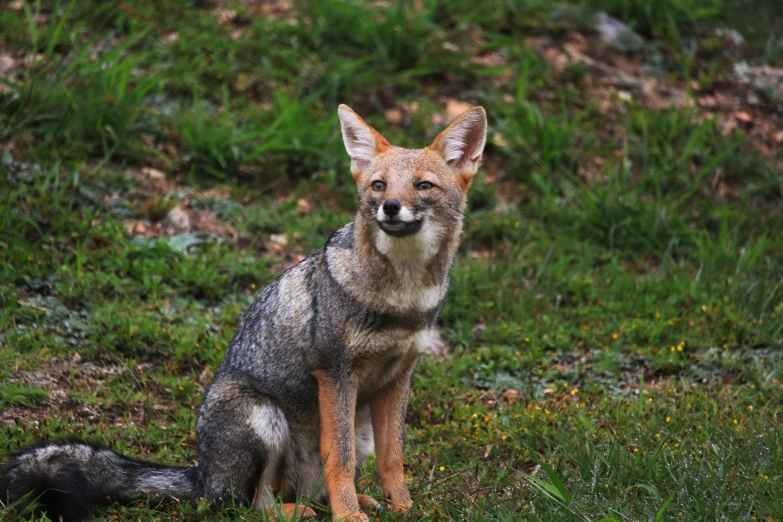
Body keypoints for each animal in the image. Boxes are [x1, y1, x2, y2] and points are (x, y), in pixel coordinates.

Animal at [1, 103, 490, 516]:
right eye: (379, 185)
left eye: (423, 186)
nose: (390, 207)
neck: (402, 298)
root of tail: (203, 473)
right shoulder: (334, 371)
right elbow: (341, 459)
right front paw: (348, 516)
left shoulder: (398, 376)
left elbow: (394, 458)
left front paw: (404, 509)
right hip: (264, 418)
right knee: (248, 505)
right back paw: (303, 511)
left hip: (356, 424)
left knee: (297, 490)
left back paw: (351, 502)